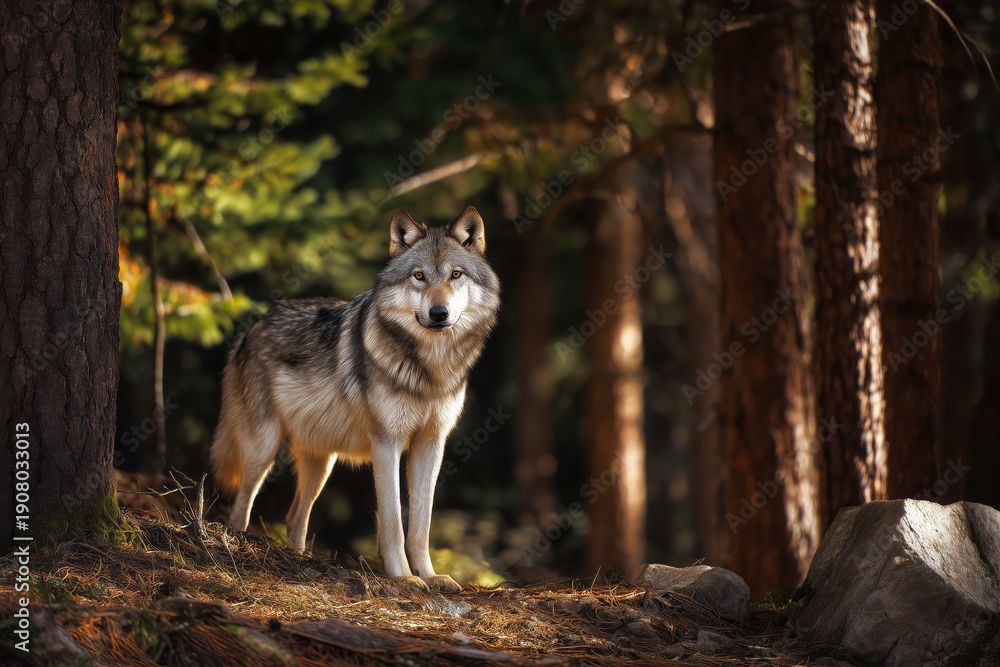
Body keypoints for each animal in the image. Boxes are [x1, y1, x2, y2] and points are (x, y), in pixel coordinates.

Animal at [210, 206, 500, 592]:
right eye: (419, 276)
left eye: (455, 274)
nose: (438, 314)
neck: (429, 368)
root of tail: (249, 329)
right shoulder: (386, 443)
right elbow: (392, 520)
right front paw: (404, 578)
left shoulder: (431, 444)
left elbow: (421, 524)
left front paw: (431, 576)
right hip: (264, 449)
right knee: (241, 507)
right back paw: (239, 547)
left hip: (322, 463)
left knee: (294, 517)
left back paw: (300, 559)